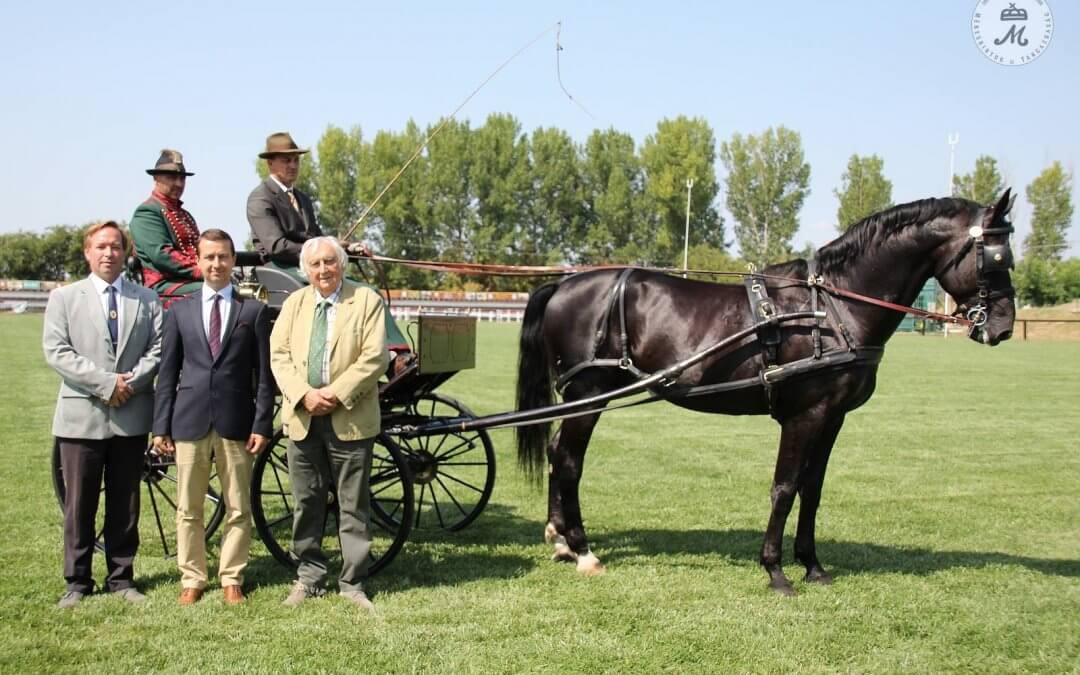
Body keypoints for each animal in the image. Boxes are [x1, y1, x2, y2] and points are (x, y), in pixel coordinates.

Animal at [518, 191, 1015, 596]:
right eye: (995, 257)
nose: (1004, 327)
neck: (833, 307)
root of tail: (563, 283)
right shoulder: (805, 415)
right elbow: (785, 486)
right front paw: (776, 570)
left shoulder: (832, 417)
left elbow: (813, 489)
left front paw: (813, 565)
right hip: (590, 393)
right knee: (569, 460)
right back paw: (583, 550)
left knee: (556, 451)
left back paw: (560, 540)